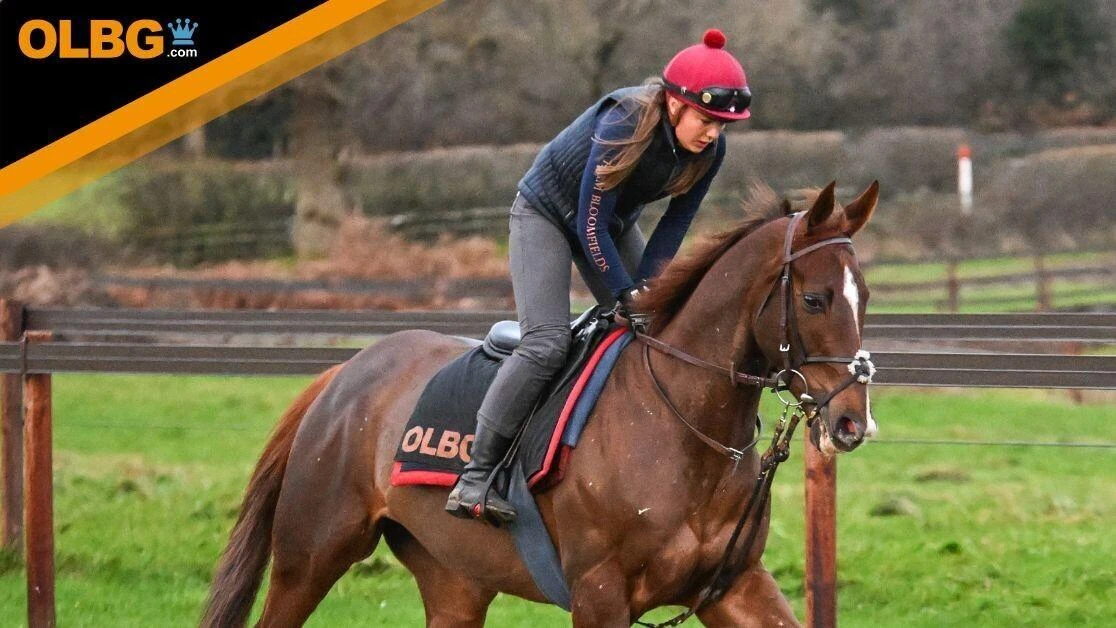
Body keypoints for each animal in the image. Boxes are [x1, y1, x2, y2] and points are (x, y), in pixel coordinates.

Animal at [201, 180, 879, 627]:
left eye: (865, 296)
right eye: (815, 299)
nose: (853, 421)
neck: (684, 427)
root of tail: (343, 373)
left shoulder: (734, 586)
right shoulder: (600, 594)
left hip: (454, 582)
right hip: (309, 556)